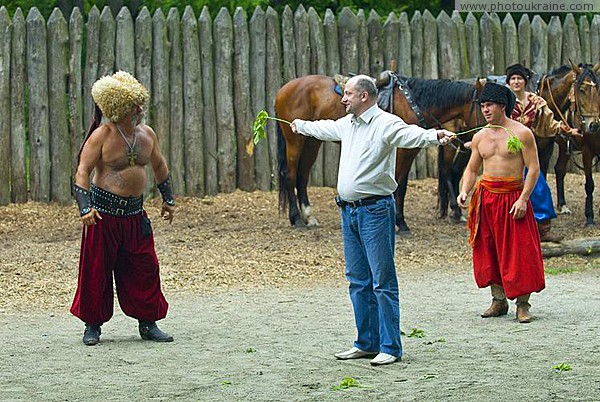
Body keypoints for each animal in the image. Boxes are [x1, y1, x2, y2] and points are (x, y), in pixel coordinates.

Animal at [274, 72, 486, 232]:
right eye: (483, 107)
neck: (413, 103)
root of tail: (283, 89)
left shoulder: (410, 151)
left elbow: (402, 186)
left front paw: (400, 222)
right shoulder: (402, 152)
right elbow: (398, 186)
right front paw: (399, 222)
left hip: (311, 142)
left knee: (302, 177)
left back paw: (308, 217)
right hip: (295, 141)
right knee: (290, 175)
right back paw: (297, 219)